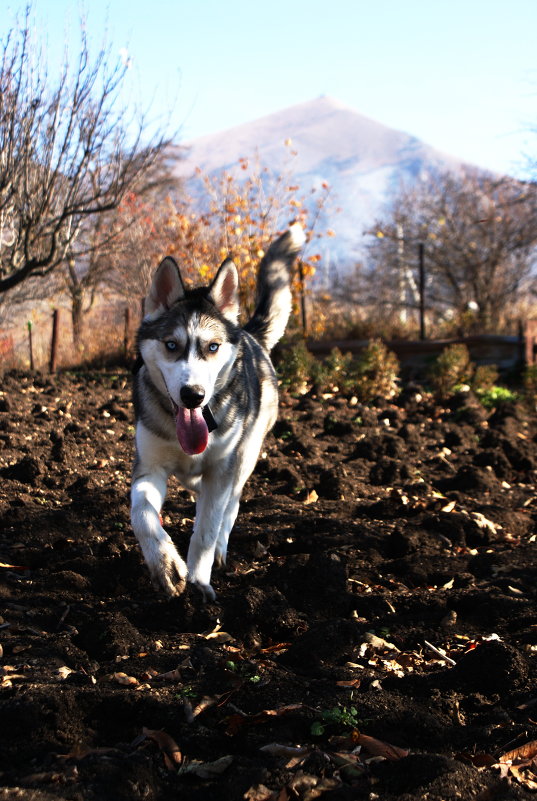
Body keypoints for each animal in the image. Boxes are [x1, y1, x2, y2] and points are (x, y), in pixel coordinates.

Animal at [131, 222, 306, 596]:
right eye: (171, 345)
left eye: (212, 347)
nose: (193, 395)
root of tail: (248, 333)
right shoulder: (149, 467)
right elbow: (142, 514)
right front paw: (165, 562)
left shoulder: (222, 469)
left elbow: (208, 529)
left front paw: (199, 579)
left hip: (245, 456)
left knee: (230, 503)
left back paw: (221, 548)